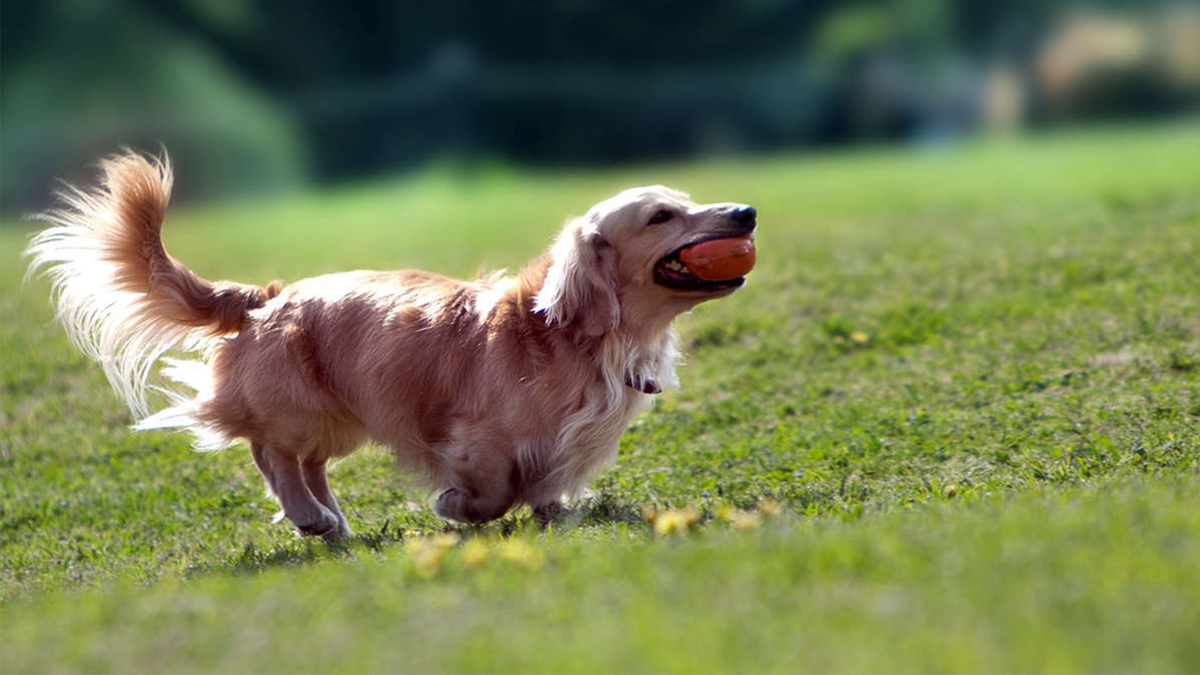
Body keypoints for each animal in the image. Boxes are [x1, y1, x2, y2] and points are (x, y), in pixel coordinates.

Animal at [25, 151, 758, 535]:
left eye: (689, 200)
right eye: (662, 216)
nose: (747, 211)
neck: (570, 337)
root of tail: (266, 299)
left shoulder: (563, 447)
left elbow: (546, 489)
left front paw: (554, 516)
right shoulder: (474, 439)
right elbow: (493, 490)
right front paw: (454, 507)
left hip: (341, 418)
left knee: (308, 463)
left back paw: (329, 517)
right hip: (299, 409)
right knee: (271, 453)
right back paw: (309, 516)